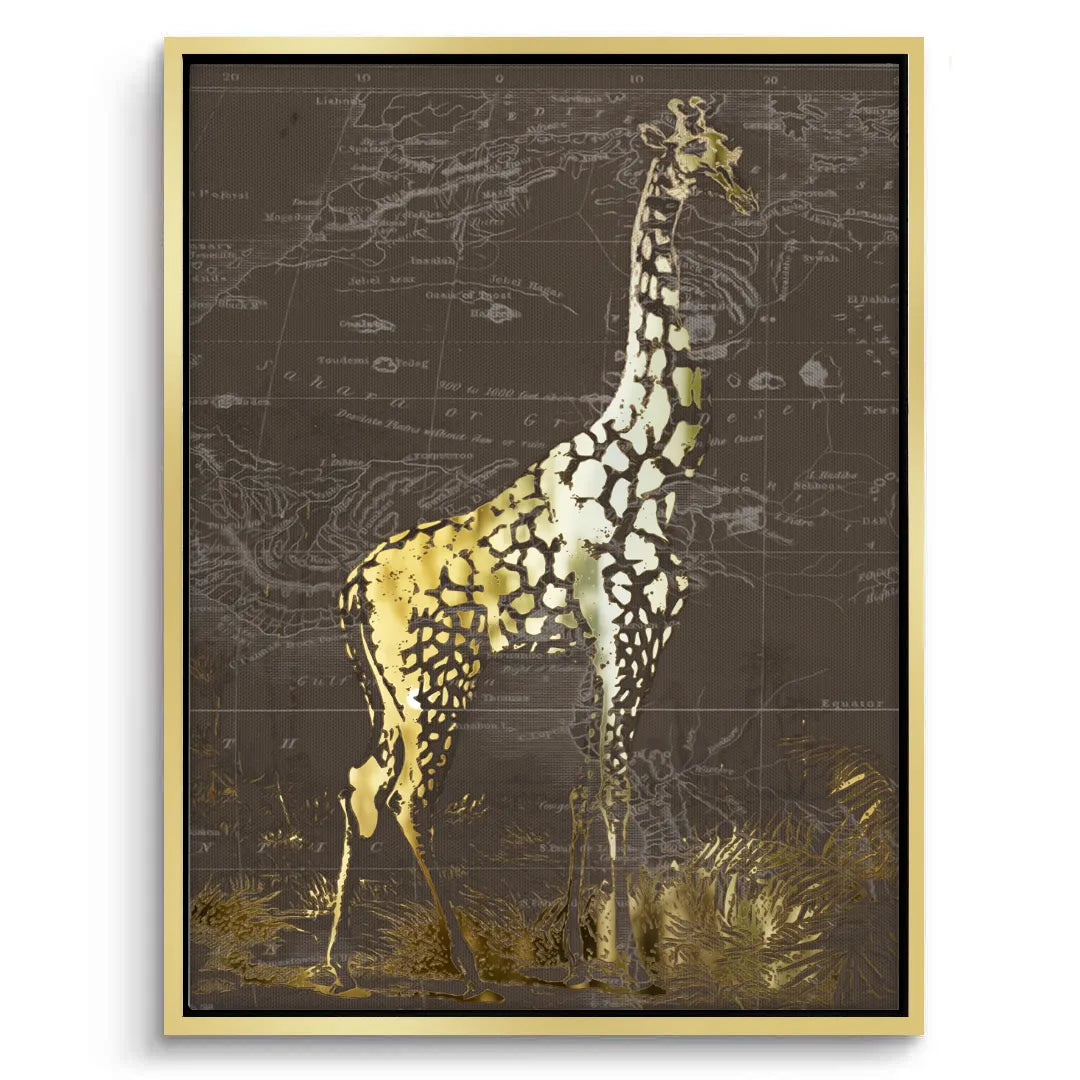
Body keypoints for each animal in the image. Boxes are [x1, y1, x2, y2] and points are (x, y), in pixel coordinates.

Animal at [326, 97, 758, 995]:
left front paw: (580, 958)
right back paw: (467, 969)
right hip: (437, 680)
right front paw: (631, 966)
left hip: (389, 692)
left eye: (728, 148)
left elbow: (582, 787)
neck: (655, 460)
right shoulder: (630, 630)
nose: (742, 194)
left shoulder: (601, 646)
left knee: (360, 787)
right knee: (408, 798)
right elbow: (618, 787)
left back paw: (336, 959)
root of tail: (348, 590)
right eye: (693, 151)